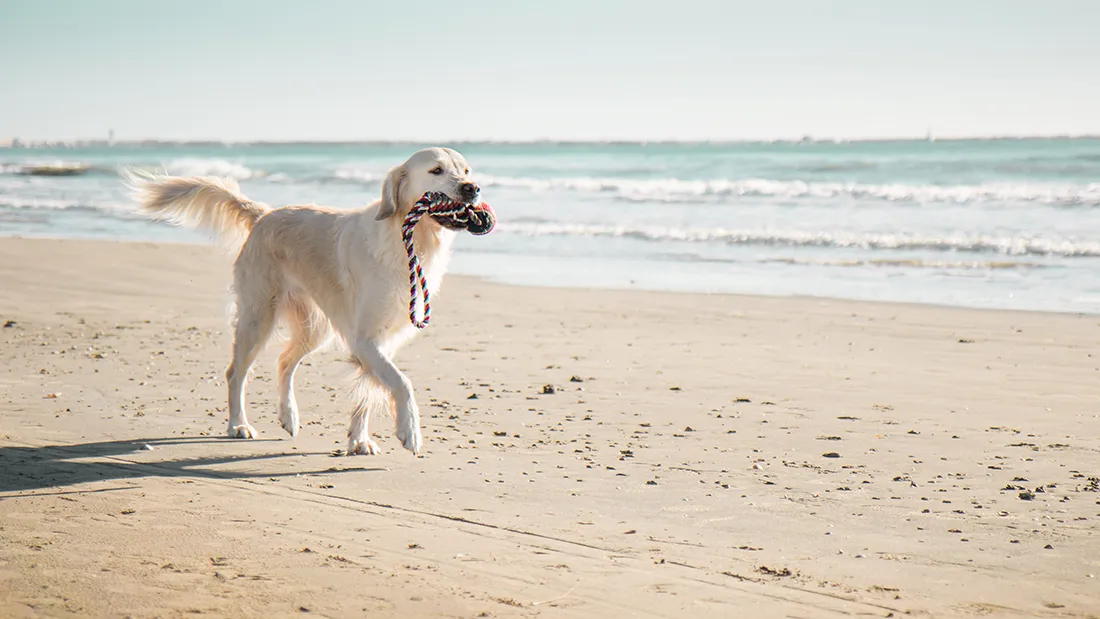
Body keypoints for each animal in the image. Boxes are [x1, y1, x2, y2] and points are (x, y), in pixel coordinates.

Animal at [126, 146, 497, 455]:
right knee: (235, 372)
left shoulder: (382, 342)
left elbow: (368, 392)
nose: (473, 188)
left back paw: (288, 415)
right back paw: (238, 425)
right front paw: (410, 431)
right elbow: (401, 383)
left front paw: (359, 440)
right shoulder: (364, 340)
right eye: (436, 170)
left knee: (284, 362)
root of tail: (264, 215)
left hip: (315, 327)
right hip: (258, 316)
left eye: (465, 170)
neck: (408, 240)